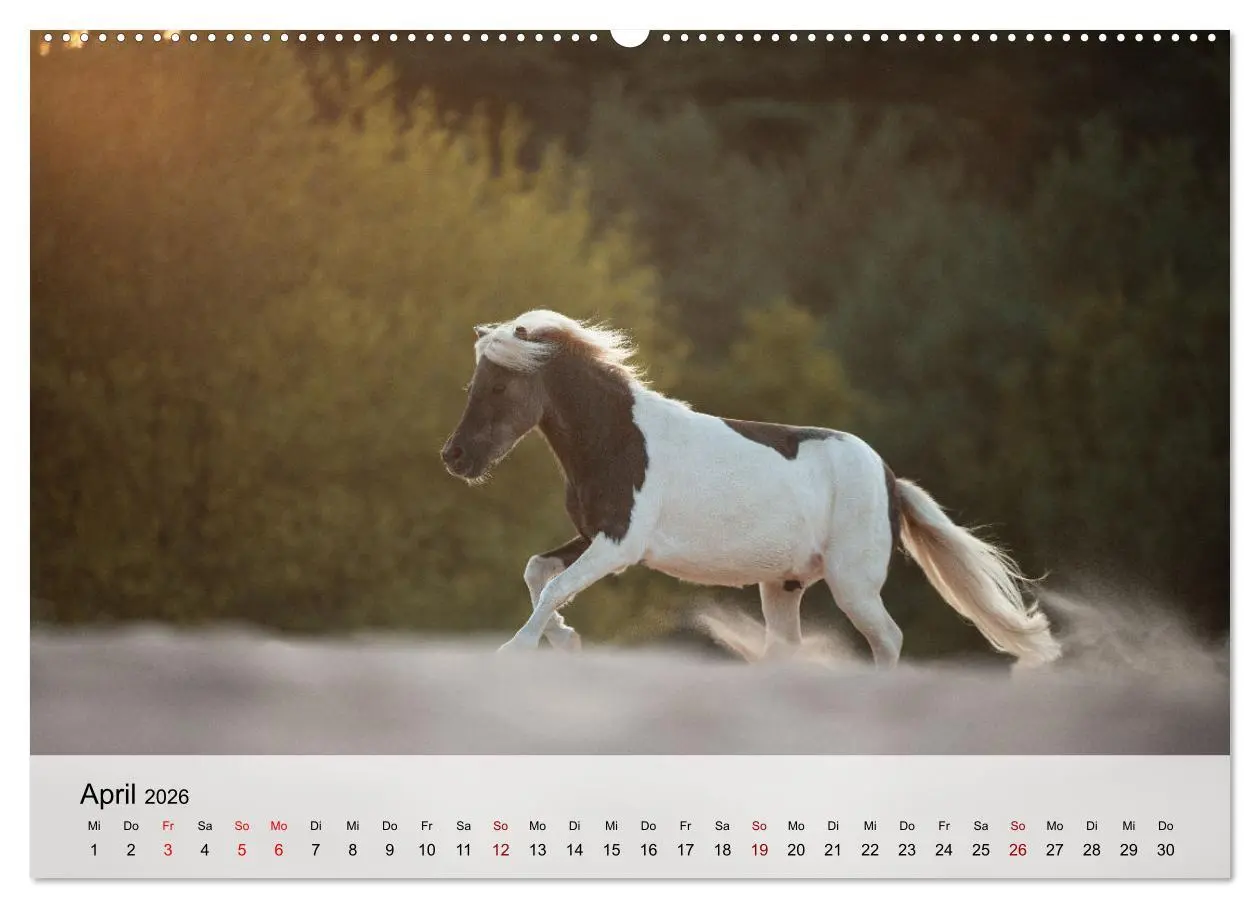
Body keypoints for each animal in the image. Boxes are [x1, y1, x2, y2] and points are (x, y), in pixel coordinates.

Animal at [440, 310, 1061, 668]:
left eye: (499, 387)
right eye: (472, 384)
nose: (456, 458)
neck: (618, 440)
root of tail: (889, 478)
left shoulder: (619, 545)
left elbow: (553, 586)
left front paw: (517, 649)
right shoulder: (597, 536)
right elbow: (538, 572)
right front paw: (565, 641)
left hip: (852, 584)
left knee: (888, 639)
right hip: (783, 587)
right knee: (787, 649)